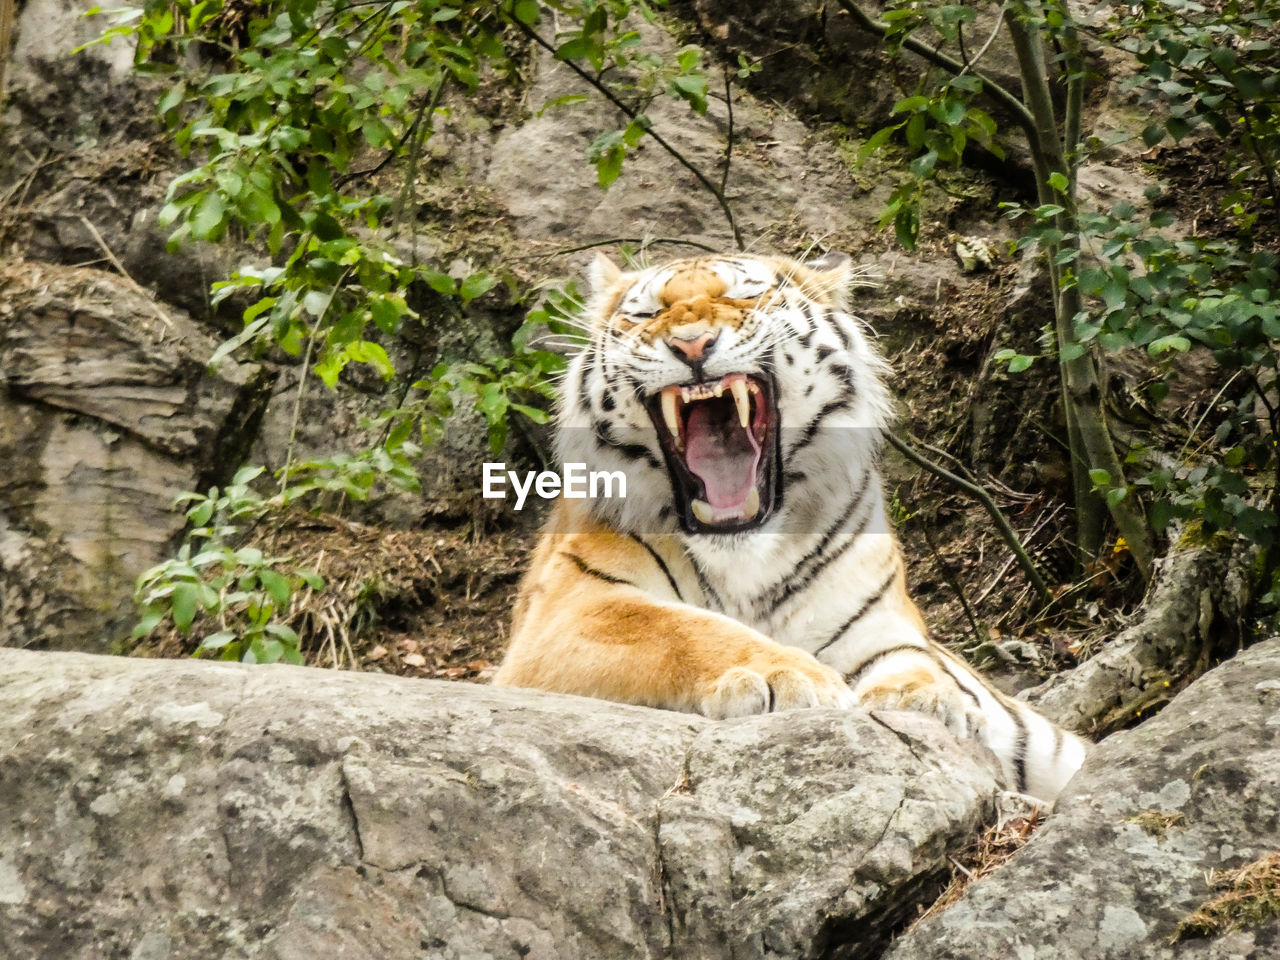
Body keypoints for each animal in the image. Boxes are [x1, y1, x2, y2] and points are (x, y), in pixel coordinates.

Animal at [491, 249, 1090, 803]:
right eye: (647, 313)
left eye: (745, 297)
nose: (691, 344)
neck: (742, 552)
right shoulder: (569, 611)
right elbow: (679, 629)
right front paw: (782, 674)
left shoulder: (880, 623)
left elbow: (914, 661)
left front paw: (925, 700)